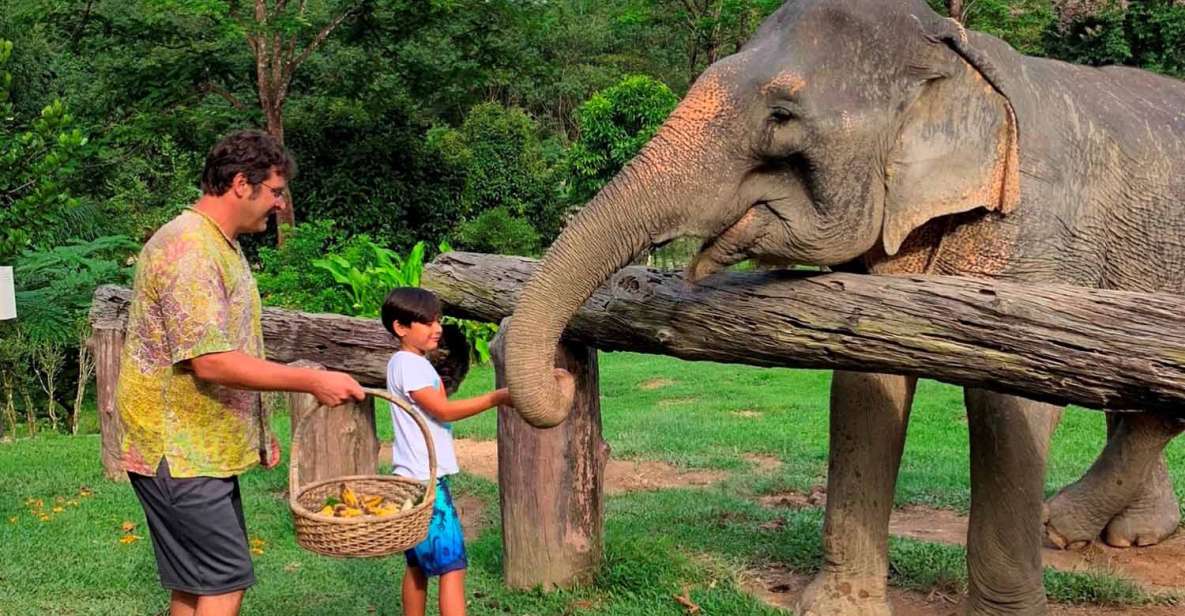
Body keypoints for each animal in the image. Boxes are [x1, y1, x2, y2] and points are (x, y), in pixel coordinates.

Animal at [502, 1, 1185, 614]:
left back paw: (1065, 526)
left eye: (782, 115)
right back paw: (1114, 534)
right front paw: (837, 606)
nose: (560, 376)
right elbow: (865, 383)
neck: (960, 54)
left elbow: (1010, 404)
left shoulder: (1041, 234)